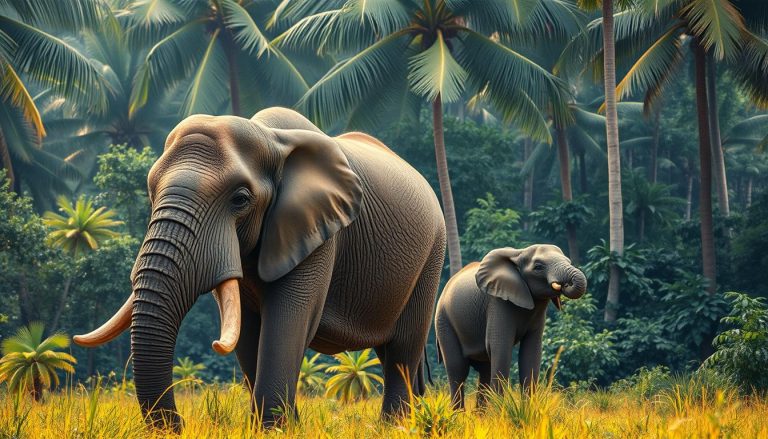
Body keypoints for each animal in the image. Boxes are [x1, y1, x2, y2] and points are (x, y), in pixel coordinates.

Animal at [73, 107, 446, 431]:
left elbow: (287, 321)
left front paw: (276, 429)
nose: (177, 426)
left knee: (401, 351)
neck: (270, 138)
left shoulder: (320, 235)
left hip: (433, 254)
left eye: (240, 199)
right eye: (151, 193)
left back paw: (394, 427)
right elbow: (248, 331)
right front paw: (280, 427)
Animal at [434, 245, 586, 409]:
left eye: (568, 261)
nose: (566, 284)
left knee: (484, 370)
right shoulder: (498, 303)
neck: (519, 253)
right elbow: (500, 348)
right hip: (444, 321)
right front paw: (499, 412)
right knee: (458, 369)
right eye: (538, 267)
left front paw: (527, 410)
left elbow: (531, 352)